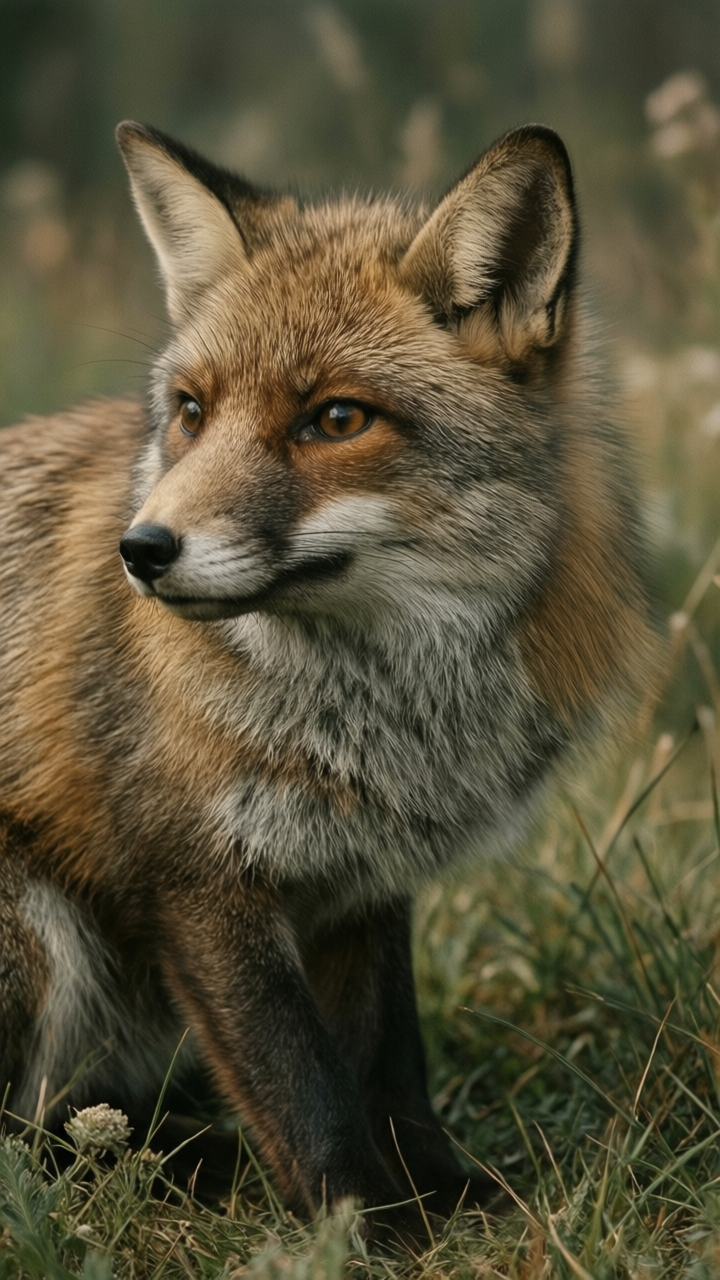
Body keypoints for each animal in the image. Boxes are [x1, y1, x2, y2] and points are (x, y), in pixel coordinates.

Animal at [0, 119, 658, 1239]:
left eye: (337, 419)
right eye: (191, 411)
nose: (143, 549)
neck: (379, 723)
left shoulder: (365, 884)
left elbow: (391, 1066)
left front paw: (444, 1193)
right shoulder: (198, 881)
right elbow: (305, 1085)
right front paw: (362, 1227)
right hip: (40, 941)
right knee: (22, 1149)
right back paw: (184, 1160)